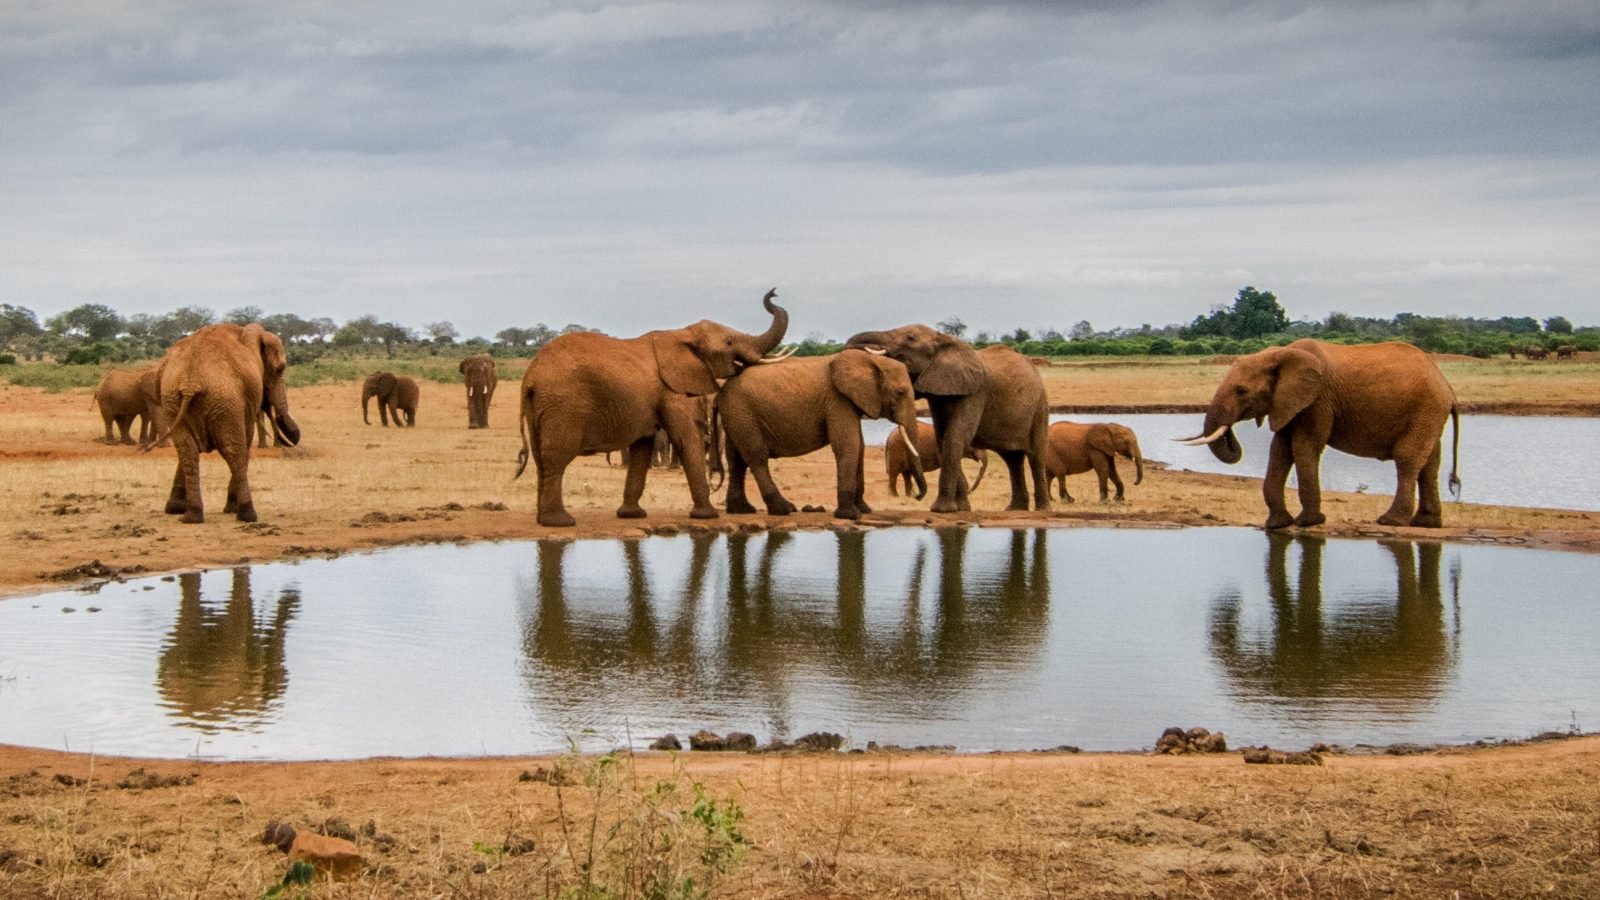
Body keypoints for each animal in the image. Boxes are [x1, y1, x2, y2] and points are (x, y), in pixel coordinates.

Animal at [144, 321, 302, 522]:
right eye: (280, 369)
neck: (247, 331)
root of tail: (190, 382)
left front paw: (175, 509)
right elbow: (245, 441)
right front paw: (232, 509)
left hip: (172, 400)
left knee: (187, 449)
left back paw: (191, 517)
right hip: (225, 402)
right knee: (233, 449)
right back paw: (247, 514)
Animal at [512, 286, 787, 525]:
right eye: (729, 342)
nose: (773, 293)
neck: (682, 333)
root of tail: (530, 376)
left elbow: (643, 447)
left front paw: (632, 515)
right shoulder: (671, 390)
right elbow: (685, 438)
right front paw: (708, 516)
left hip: (542, 405)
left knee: (541, 458)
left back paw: (543, 519)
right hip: (563, 405)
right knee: (557, 456)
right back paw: (559, 522)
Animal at [716, 350, 928, 518]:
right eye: (900, 392)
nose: (918, 497)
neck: (871, 360)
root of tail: (723, 388)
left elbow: (859, 446)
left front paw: (864, 510)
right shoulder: (838, 400)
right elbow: (848, 445)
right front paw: (850, 516)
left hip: (736, 414)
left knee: (737, 461)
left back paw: (742, 510)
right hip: (742, 412)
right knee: (757, 457)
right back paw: (784, 509)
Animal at [838, 323, 1049, 512]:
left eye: (910, 338)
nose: (918, 497)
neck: (944, 340)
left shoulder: (976, 391)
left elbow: (956, 437)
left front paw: (941, 510)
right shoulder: (939, 394)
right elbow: (943, 438)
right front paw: (961, 509)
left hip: (1040, 407)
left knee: (1035, 456)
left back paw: (1041, 510)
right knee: (1012, 459)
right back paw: (1015, 509)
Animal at [1177, 339, 1465, 528]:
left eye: (1241, 391)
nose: (1232, 435)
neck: (1281, 354)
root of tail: (1448, 387)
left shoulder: (1317, 399)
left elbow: (1304, 446)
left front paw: (1308, 523)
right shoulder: (1290, 402)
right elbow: (1280, 449)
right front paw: (1277, 525)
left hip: (1425, 408)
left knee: (1407, 458)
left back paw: (1390, 521)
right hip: (1429, 413)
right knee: (1430, 463)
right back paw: (1426, 524)